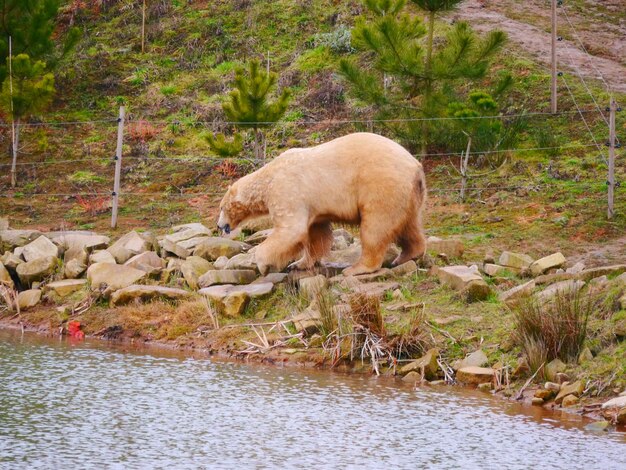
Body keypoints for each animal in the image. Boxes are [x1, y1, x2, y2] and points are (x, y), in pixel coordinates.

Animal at [214, 132, 424, 278]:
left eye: (222, 208)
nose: (219, 225)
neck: (268, 178)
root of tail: (416, 166)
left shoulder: (287, 190)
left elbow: (291, 230)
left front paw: (263, 265)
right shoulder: (313, 205)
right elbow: (316, 233)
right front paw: (298, 263)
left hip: (380, 184)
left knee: (375, 227)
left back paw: (356, 268)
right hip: (407, 194)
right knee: (408, 225)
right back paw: (407, 255)